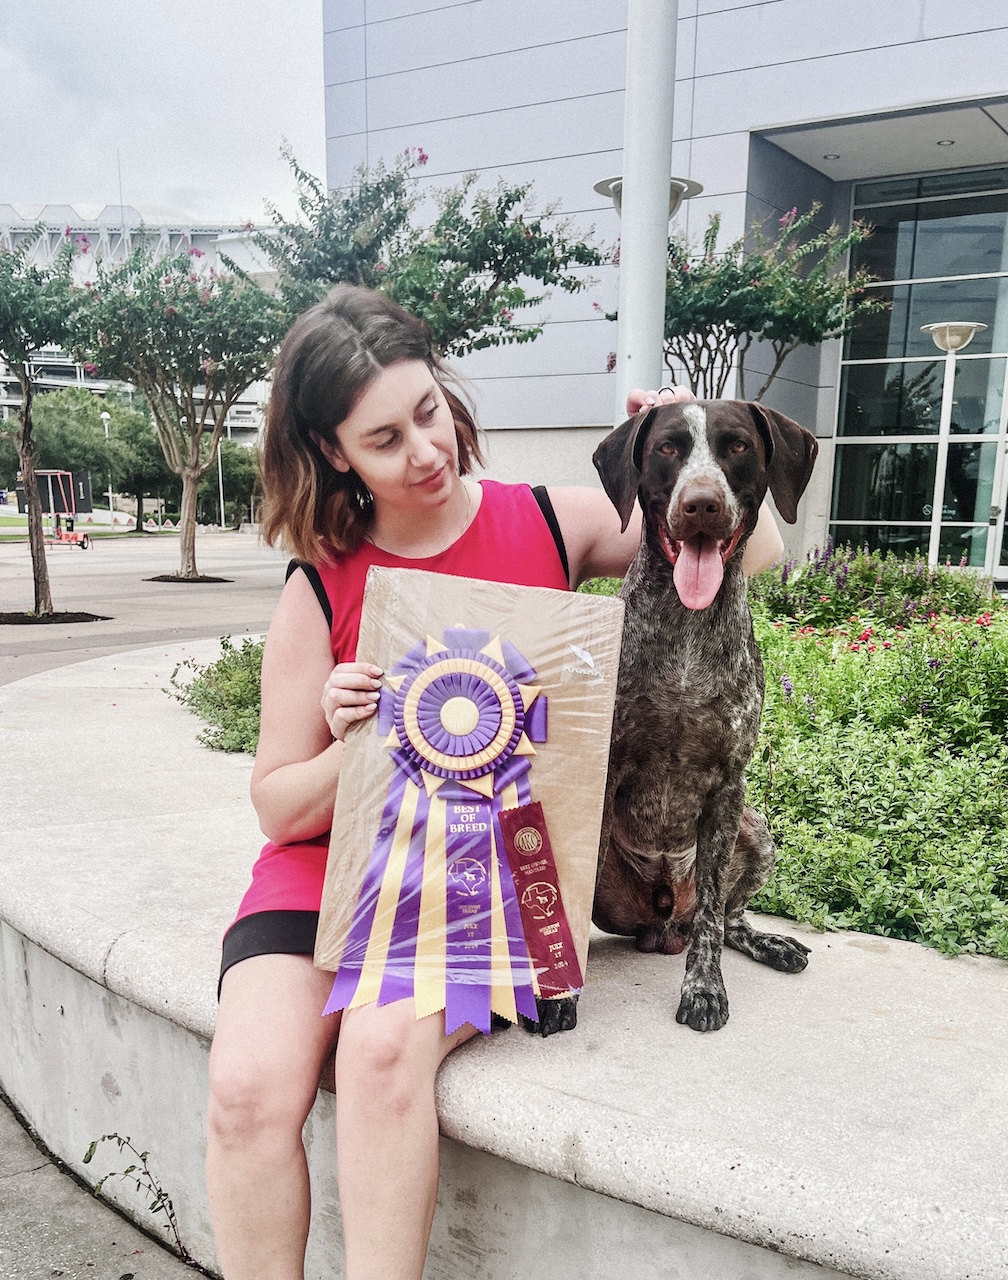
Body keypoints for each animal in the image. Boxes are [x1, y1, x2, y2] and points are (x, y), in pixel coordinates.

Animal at [591, 399, 818, 1032]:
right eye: (667, 447)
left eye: (737, 445)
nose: (701, 505)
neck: (687, 626)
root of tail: (663, 922)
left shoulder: (727, 785)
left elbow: (715, 916)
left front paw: (704, 989)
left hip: (755, 828)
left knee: (724, 919)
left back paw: (769, 943)